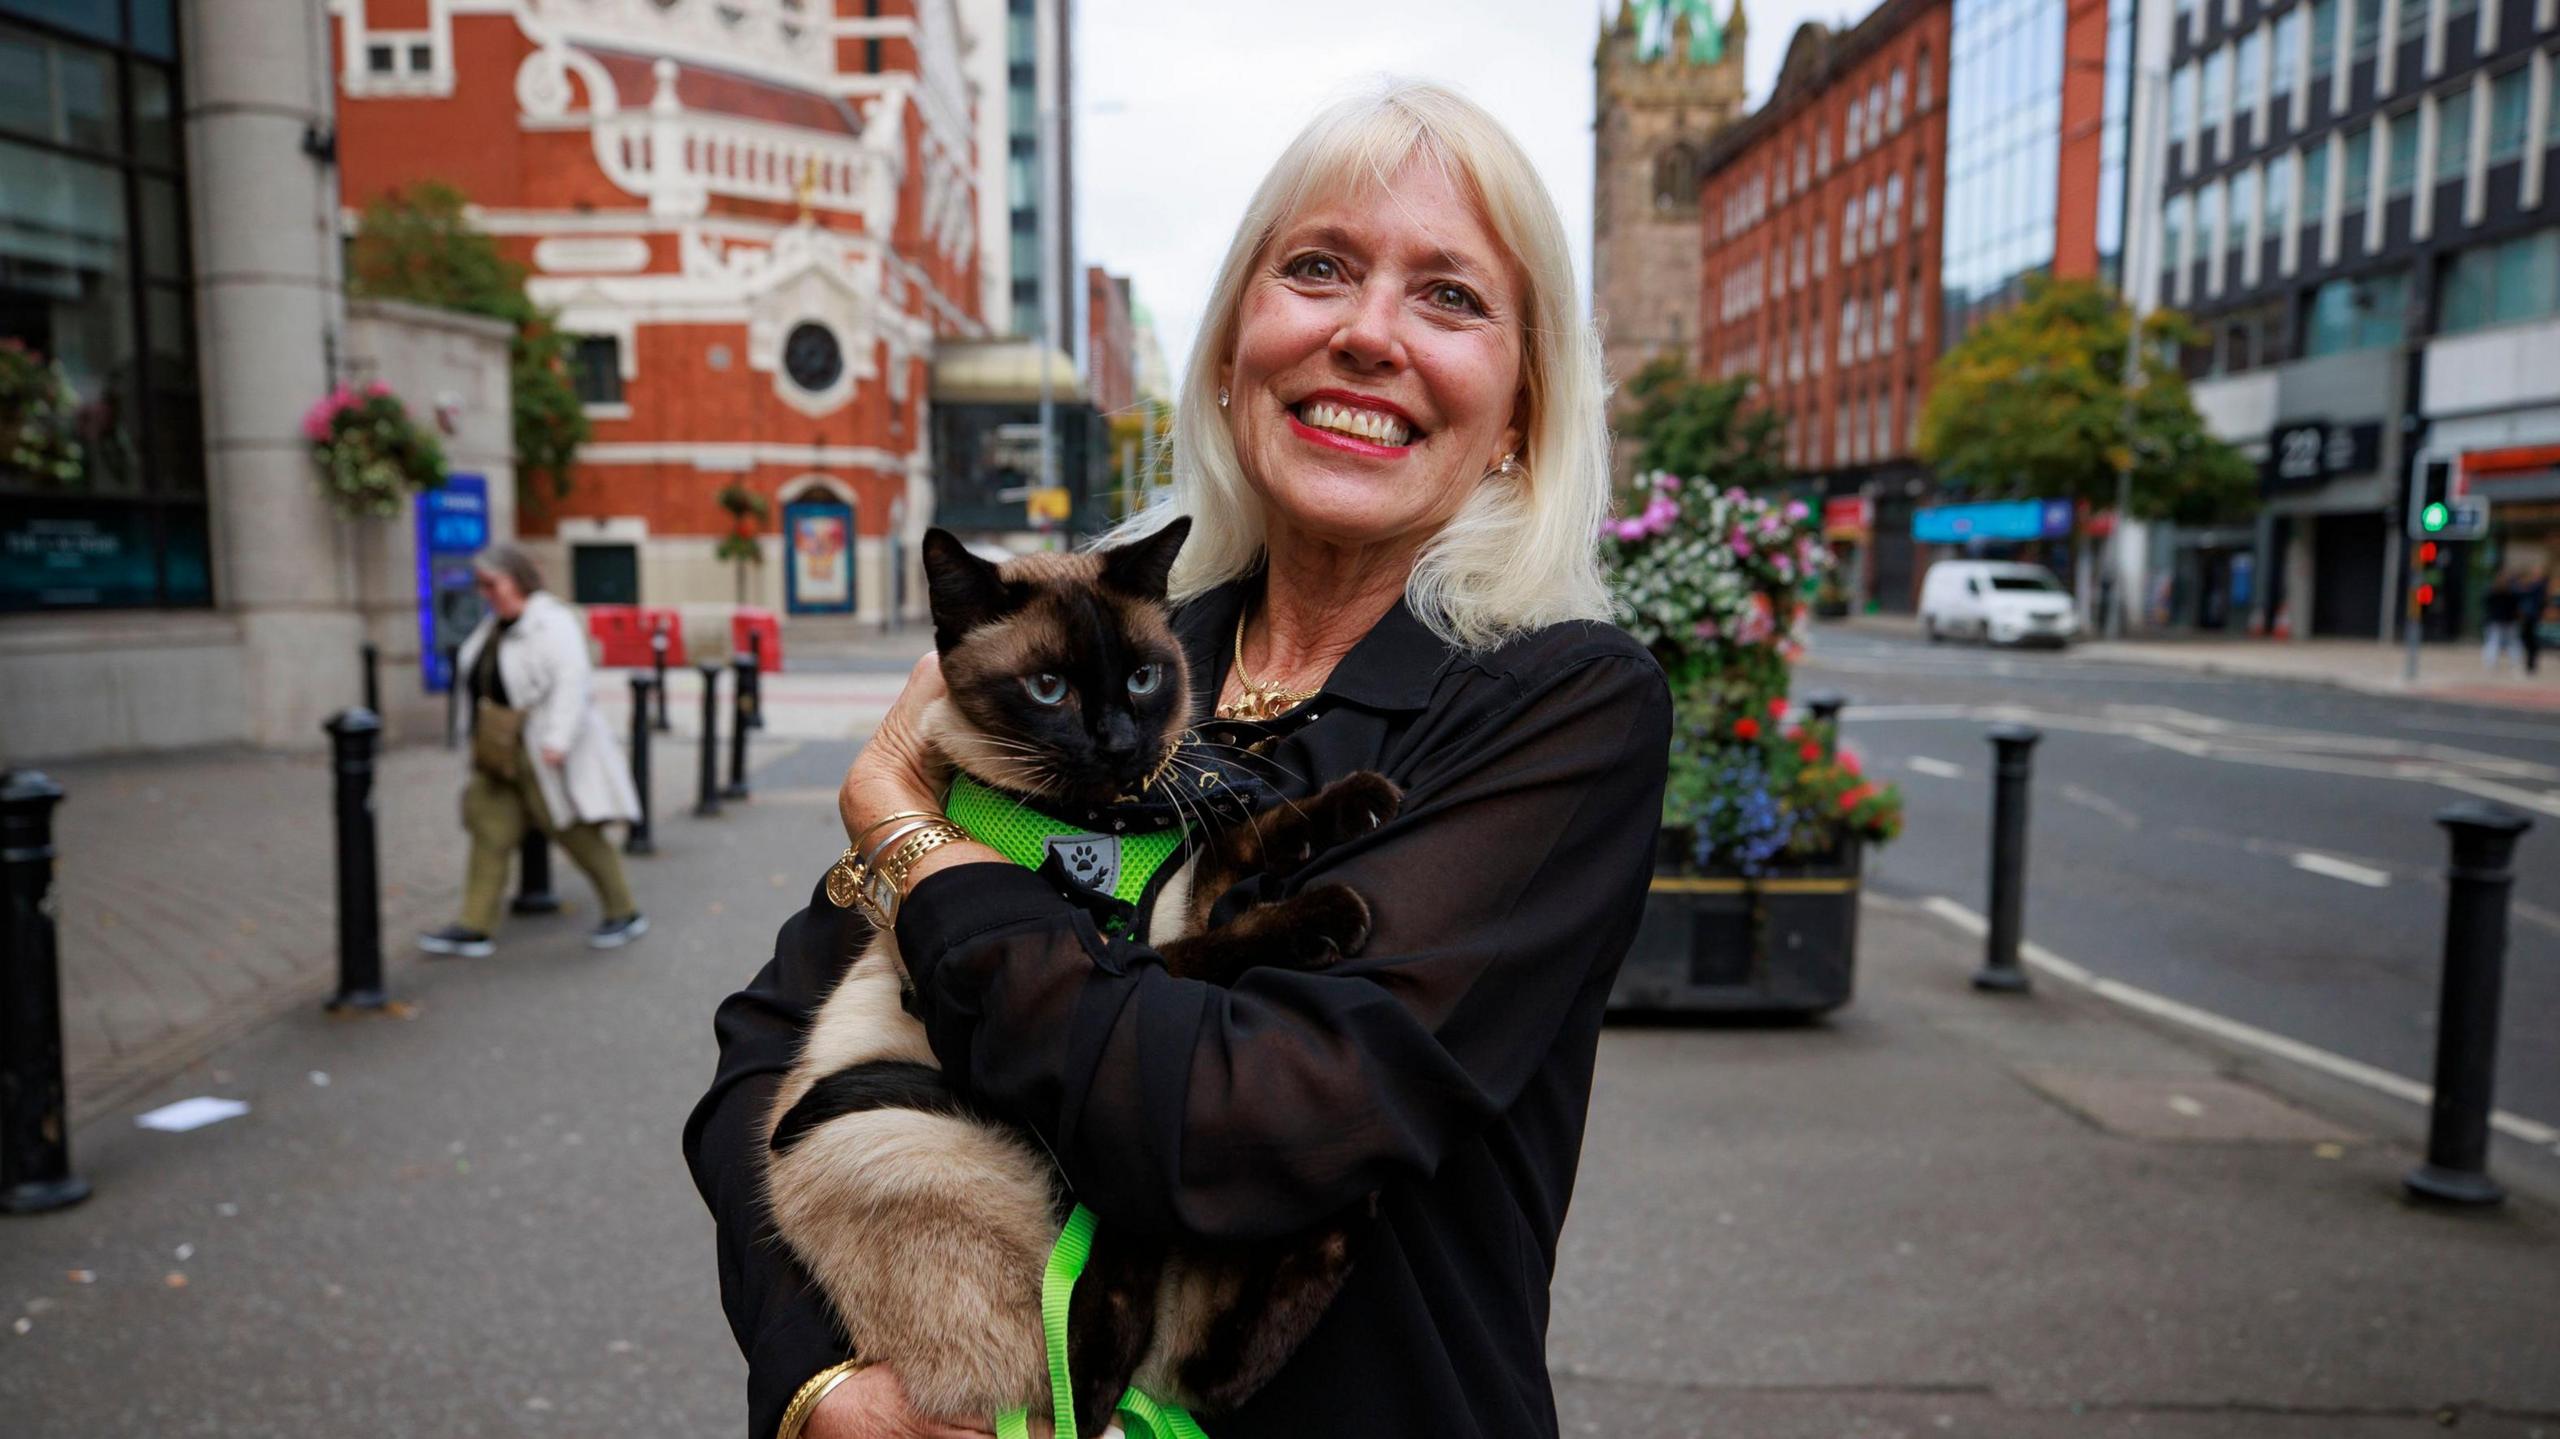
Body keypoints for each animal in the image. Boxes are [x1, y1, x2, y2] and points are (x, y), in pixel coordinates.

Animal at [762, 517, 1402, 1433]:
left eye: (1141, 677)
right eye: (1048, 688)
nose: (1119, 742)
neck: (1103, 821)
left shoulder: (1186, 888)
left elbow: (1255, 832)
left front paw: (1360, 801)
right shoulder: (1132, 957)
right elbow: (1233, 932)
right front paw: (1328, 913)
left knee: (1189, 1363)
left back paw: (1346, 1211)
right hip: (910, 1132)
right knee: (1094, 1366)